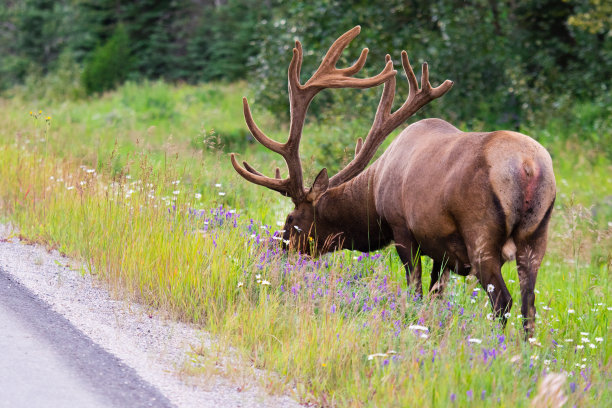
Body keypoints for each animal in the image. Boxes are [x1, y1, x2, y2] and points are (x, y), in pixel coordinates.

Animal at [230, 26, 556, 338]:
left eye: (291, 218)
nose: (273, 248)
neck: (374, 195)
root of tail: (529, 167)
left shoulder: (402, 229)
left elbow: (416, 291)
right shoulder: (442, 250)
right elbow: (436, 295)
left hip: (481, 235)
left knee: (503, 301)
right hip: (536, 238)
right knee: (529, 306)